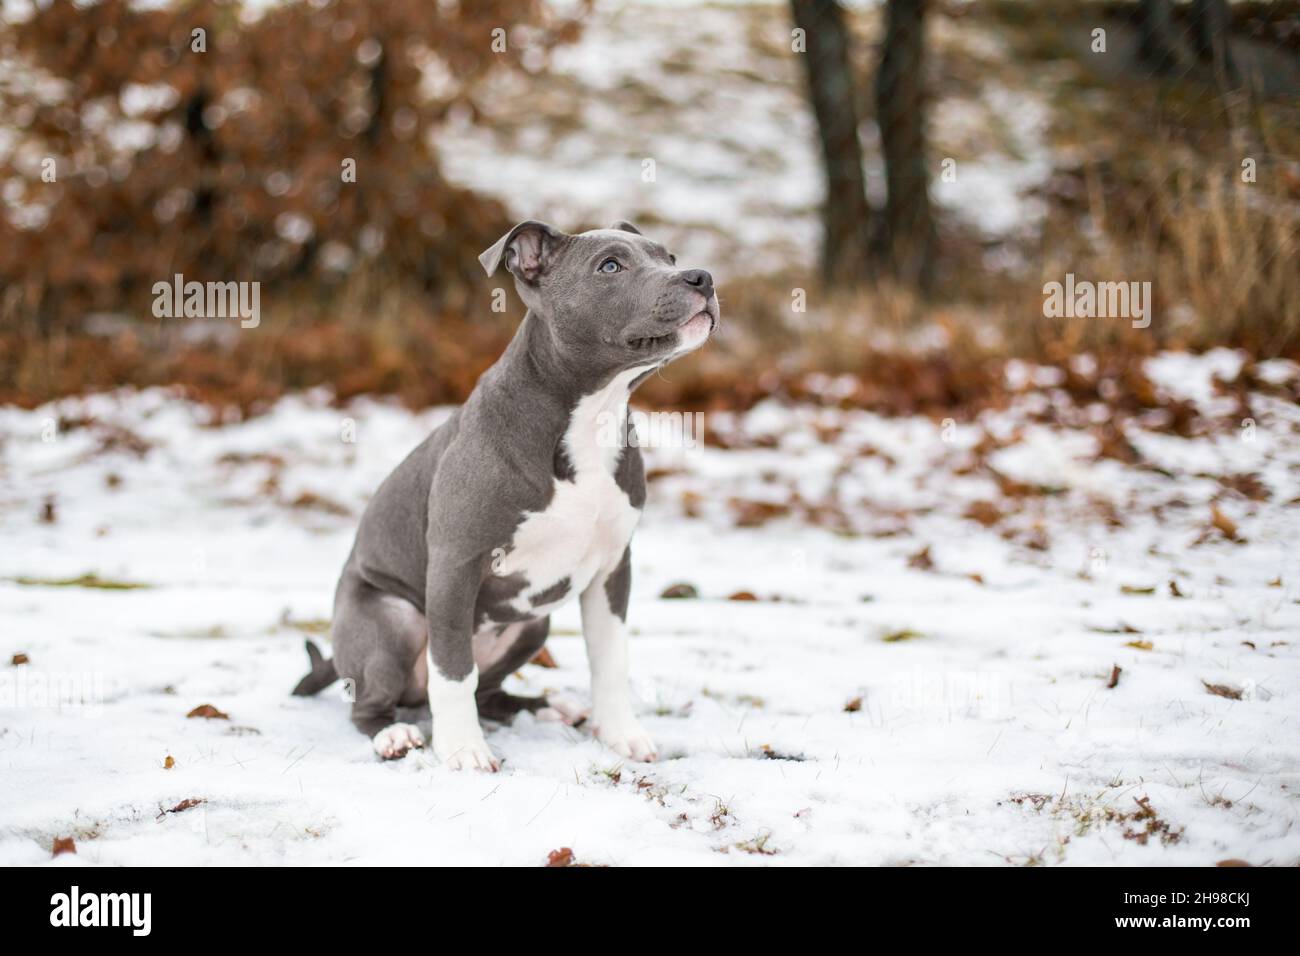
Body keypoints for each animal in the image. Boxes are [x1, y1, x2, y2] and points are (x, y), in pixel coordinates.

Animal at [295, 218, 717, 770]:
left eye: (669, 257)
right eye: (610, 266)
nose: (702, 276)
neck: (592, 415)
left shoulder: (612, 568)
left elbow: (610, 659)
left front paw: (621, 734)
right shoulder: (456, 563)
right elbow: (453, 668)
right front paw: (464, 750)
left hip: (532, 626)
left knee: (490, 691)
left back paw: (546, 708)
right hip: (391, 620)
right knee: (372, 702)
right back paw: (393, 734)